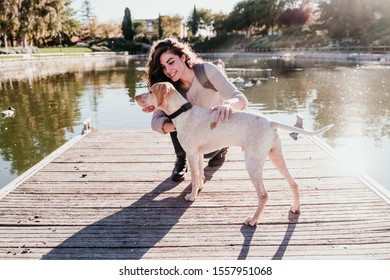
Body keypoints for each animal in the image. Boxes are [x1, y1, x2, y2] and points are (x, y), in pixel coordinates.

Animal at [136, 82, 334, 226]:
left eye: (150, 91)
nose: (137, 96)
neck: (184, 113)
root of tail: (270, 122)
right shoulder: (197, 154)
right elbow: (199, 175)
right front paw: (199, 189)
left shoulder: (191, 153)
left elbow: (194, 177)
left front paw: (192, 196)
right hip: (276, 157)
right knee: (294, 184)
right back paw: (295, 208)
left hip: (253, 163)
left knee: (264, 195)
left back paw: (253, 220)